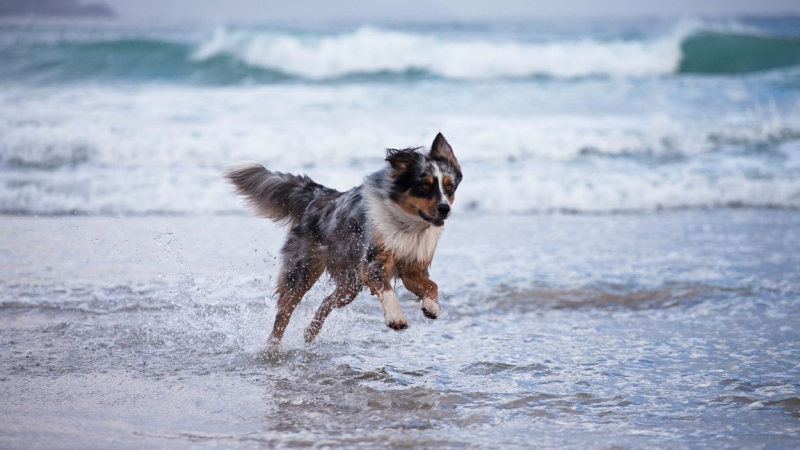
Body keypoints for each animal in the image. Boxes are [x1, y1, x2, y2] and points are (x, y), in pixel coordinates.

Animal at [225, 132, 462, 346]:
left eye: (449, 187)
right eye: (424, 185)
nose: (445, 209)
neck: (408, 225)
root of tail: (319, 196)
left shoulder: (413, 267)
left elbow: (432, 286)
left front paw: (431, 306)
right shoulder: (373, 261)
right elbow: (387, 289)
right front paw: (396, 317)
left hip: (350, 283)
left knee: (326, 302)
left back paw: (310, 332)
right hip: (302, 269)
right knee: (284, 311)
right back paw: (272, 347)